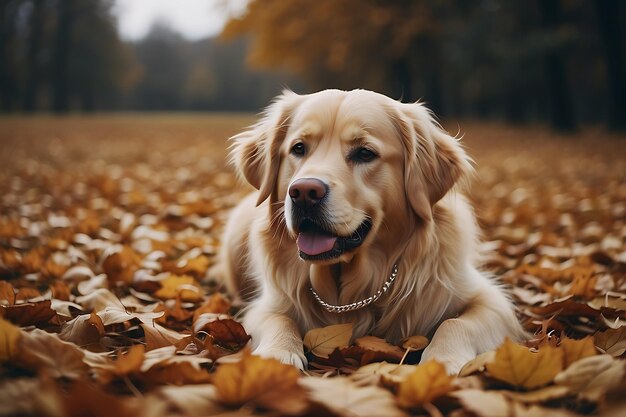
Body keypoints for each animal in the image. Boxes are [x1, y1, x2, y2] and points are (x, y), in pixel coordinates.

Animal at [212, 88, 524, 374]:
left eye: (365, 153)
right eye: (298, 148)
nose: (303, 192)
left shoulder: (490, 301)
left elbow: (454, 323)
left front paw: (441, 360)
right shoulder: (266, 305)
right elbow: (280, 319)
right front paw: (276, 355)